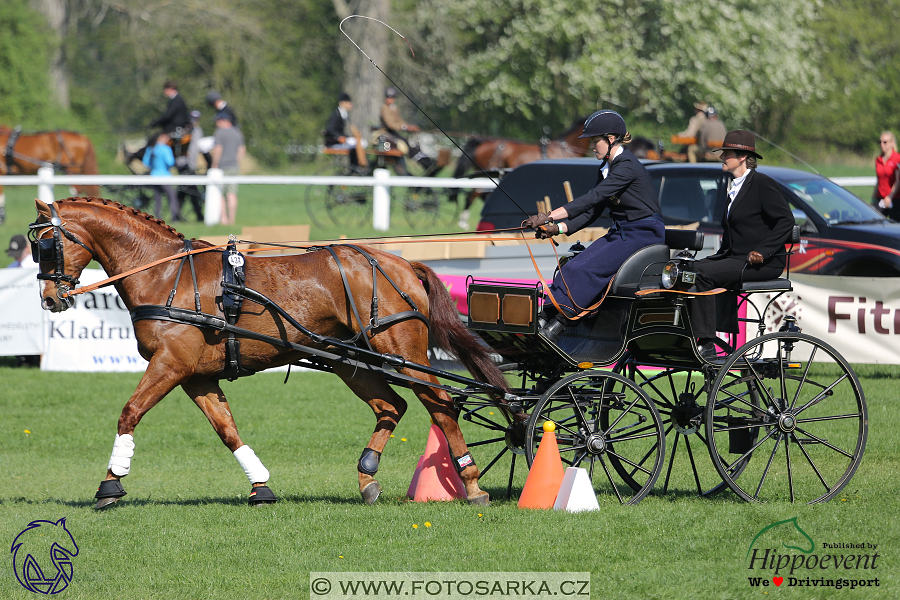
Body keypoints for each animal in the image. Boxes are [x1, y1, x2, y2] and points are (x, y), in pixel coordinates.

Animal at [31, 199, 510, 508]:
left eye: (46, 244)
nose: (50, 299)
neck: (165, 274)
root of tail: (401, 263)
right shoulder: (196, 376)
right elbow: (227, 430)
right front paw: (260, 486)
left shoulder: (171, 364)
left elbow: (130, 412)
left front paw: (110, 484)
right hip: (351, 362)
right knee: (391, 406)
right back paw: (367, 476)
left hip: (401, 353)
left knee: (441, 404)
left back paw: (472, 484)